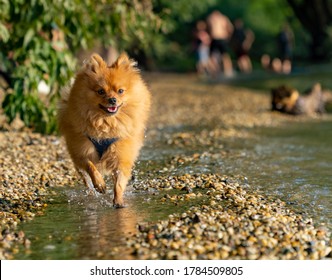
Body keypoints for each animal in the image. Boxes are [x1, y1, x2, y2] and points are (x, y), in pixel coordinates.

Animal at [58, 52, 152, 207]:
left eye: (120, 91)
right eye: (101, 91)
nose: (112, 100)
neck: (105, 124)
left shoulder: (121, 156)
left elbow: (119, 182)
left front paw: (118, 201)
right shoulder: (82, 151)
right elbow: (91, 167)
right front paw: (100, 184)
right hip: (75, 156)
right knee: (85, 177)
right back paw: (91, 191)